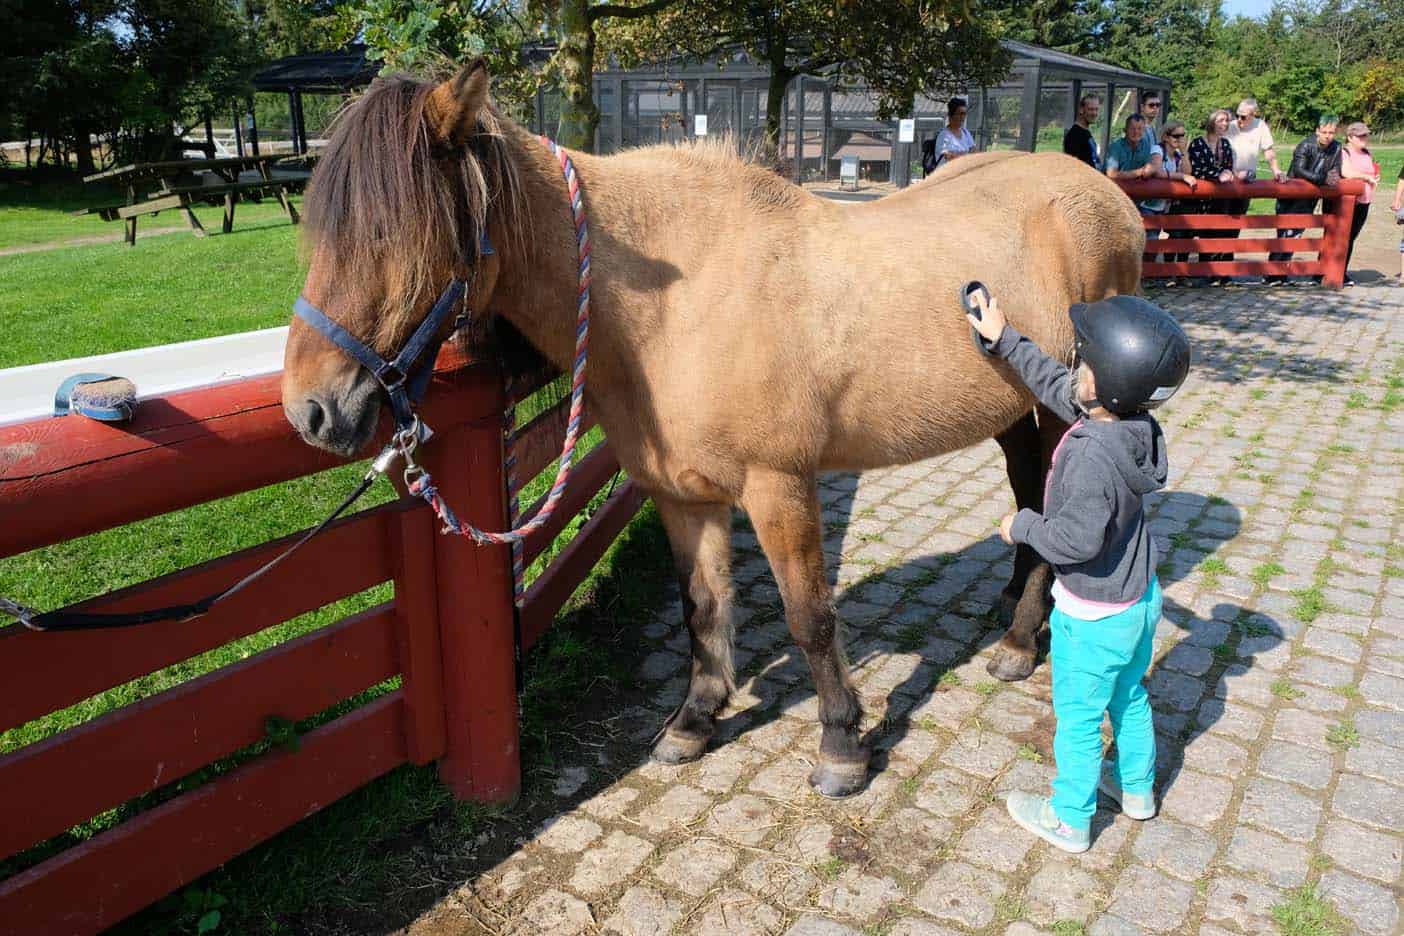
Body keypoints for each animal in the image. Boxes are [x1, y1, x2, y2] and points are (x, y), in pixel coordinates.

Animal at [282, 60, 1140, 797]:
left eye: (395, 235)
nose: (309, 410)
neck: (675, 303)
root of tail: (1109, 197)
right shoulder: (681, 493)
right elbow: (702, 606)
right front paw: (693, 723)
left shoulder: (778, 487)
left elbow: (809, 616)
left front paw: (840, 745)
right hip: (1018, 410)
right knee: (1030, 497)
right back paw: (1018, 618)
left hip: (1065, 414)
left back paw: (1019, 645)